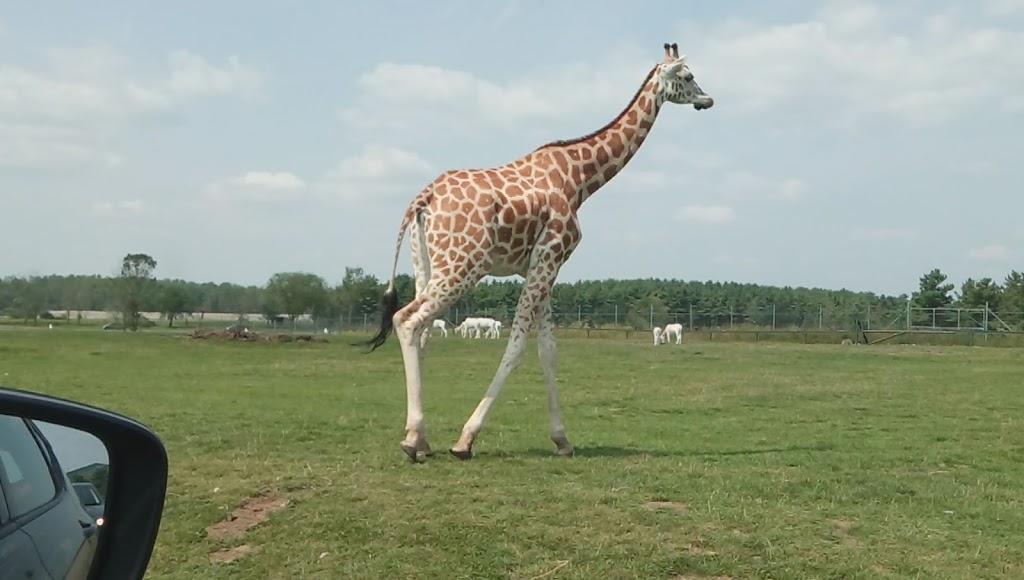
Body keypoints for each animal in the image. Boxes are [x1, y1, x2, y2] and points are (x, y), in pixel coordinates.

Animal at [360, 42, 712, 463]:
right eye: (688, 76)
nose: (708, 99)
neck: (581, 179)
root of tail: (422, 199)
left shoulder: (540, 263)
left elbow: (549, 350)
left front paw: (562, 439)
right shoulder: (551, 254)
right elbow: (517, 346)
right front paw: (466, 440)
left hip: (426, 264)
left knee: (422, 332)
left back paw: (422, 439)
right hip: (463, 266)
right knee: (408, 320)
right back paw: (413, 440)